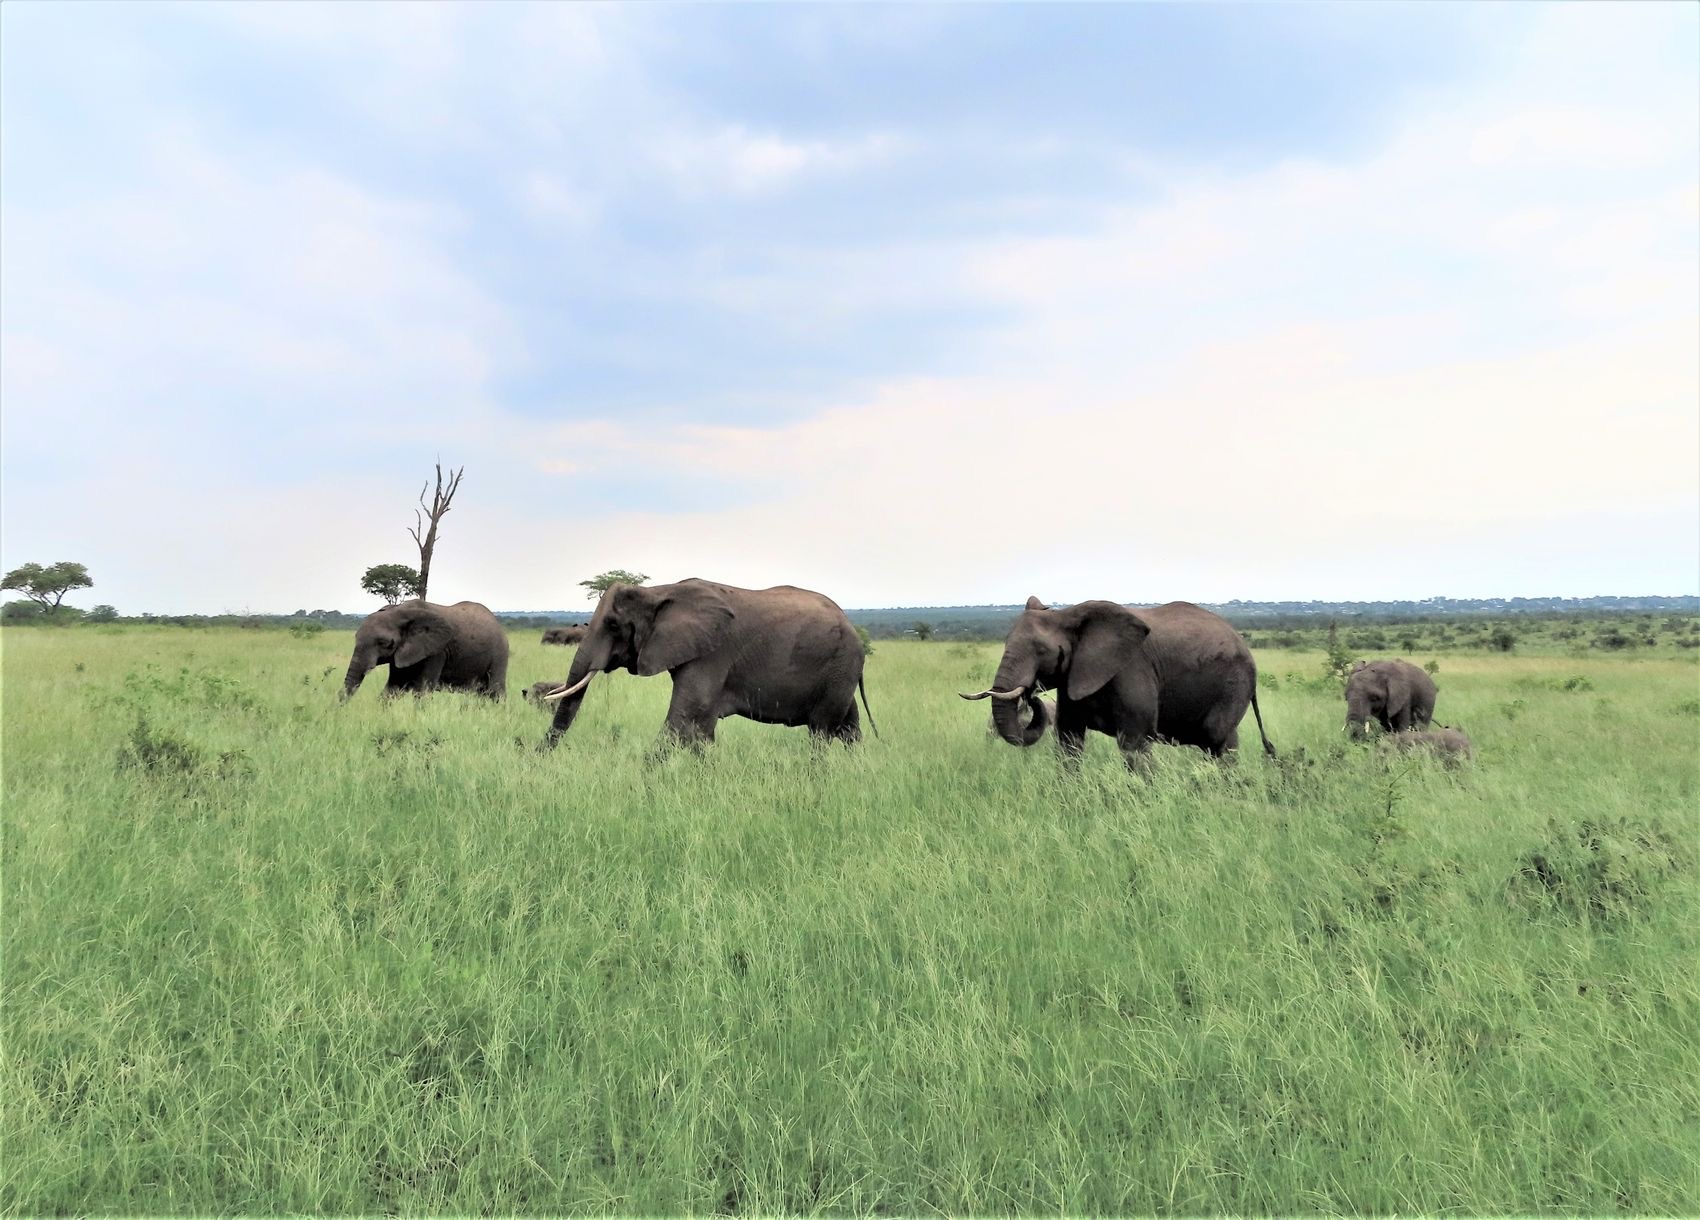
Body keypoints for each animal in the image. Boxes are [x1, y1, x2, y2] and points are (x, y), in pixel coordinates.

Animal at [342, 600, 509, 700]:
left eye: (384, 643)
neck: (400, 610)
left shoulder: (437, 651)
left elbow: (423, 690)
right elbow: (393, 687)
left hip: (500, 653)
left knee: (495, 691)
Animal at [540, 578, 875, 748]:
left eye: (612, 625)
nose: (538, 759)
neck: (659, 592)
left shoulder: (713, 653)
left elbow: (683, 720)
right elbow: (701, 729)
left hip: (840, 665)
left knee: (821, 732)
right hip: (840, 672)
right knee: (849, 727)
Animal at [962, 597, 1273, 766]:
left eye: (1041, 651)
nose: (1030, 694)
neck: (1068, 615)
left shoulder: (1130, 670)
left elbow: (1133, 745)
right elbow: (1069, 742)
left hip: (1234, 683)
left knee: (1219, 741)